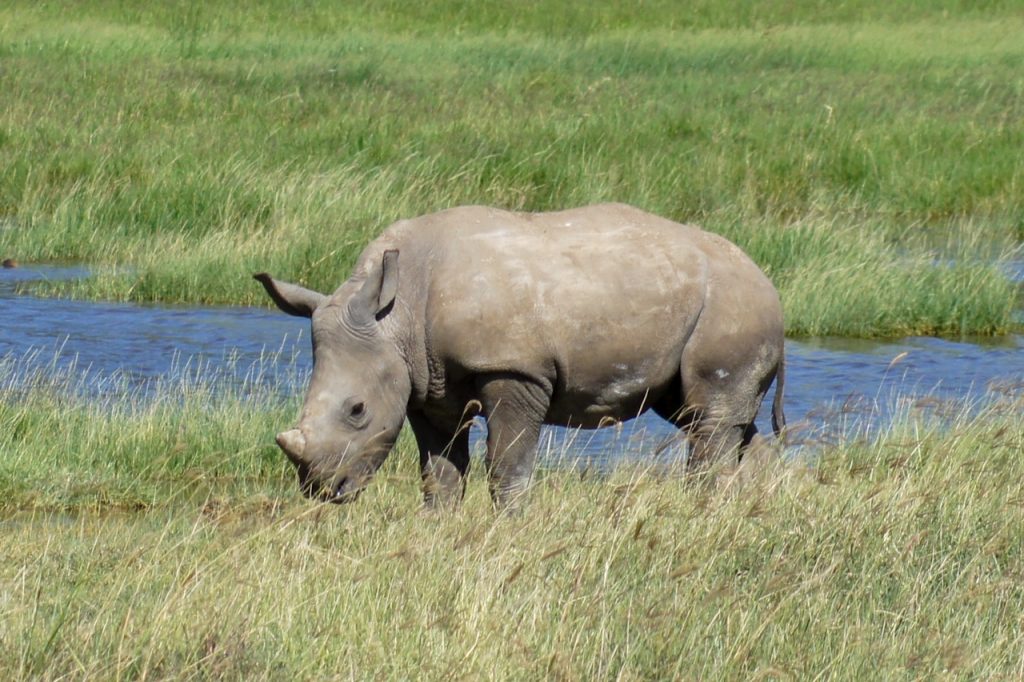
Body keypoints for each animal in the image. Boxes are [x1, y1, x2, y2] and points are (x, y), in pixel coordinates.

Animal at [255, 203, 785, 510]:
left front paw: (507, 527)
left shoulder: (514, 369)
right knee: (701, 415)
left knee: (710, 417)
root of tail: (767, 282)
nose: (321, 490)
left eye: (357, 410)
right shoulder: (426, 381)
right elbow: (440, 470)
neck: (396, 314)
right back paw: (751, 512)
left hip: (733, 305)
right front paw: (439, 528)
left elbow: (507, 465)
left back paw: (705, 512)